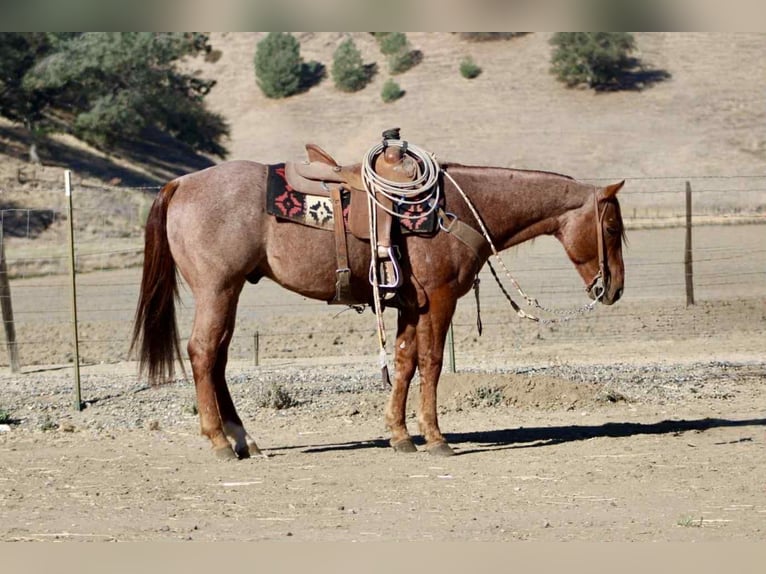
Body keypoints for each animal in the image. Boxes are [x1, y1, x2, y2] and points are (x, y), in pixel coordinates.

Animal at [131, 155, 625, 459]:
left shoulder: (411, 303)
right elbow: (432, 362)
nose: (615, 288)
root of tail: (180, 183)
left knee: (216, 358)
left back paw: (244, 439)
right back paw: (219, 441)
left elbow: (405, 362)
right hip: (217, 289)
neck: (457, 209)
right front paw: (436, 437)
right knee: (202, 353)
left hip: (228, 293)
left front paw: (400, 435)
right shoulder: (440, 298)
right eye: (612, 227)